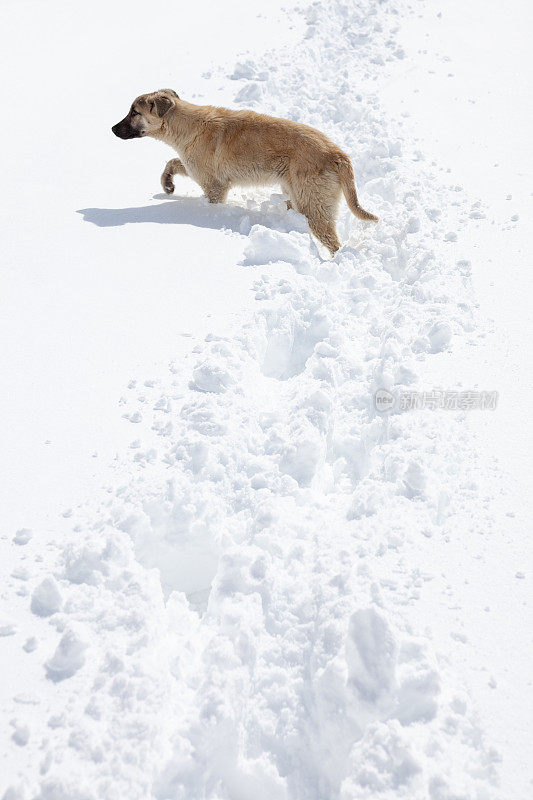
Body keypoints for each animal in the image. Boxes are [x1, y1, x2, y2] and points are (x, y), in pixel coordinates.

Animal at [111, 88, 378, 252]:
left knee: (333, 243)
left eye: (134, 112)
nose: (112, 129)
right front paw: (168, 184)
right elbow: (172, 163)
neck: (187, 125)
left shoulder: (214, 186)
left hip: (314, 205)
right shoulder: (195, 168)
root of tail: (337, 154)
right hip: (299, 195)